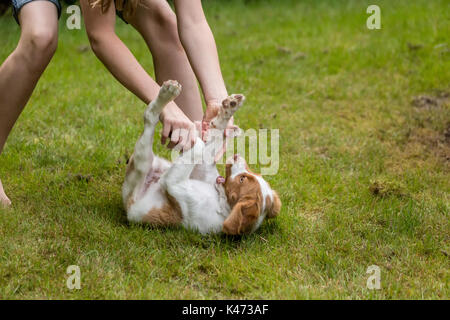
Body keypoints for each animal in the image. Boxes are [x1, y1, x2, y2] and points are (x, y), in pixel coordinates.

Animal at [121, 80, 280, 235]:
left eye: (242, 179)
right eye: (255, 174)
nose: (236, 156)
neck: (220, 200)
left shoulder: (173, 183)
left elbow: (198, 147)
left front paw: (193, 133)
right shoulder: (202, 170)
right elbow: (209, 144)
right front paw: (224, 115)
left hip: (141, 163)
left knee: (149, 116)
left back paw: (168, 94)